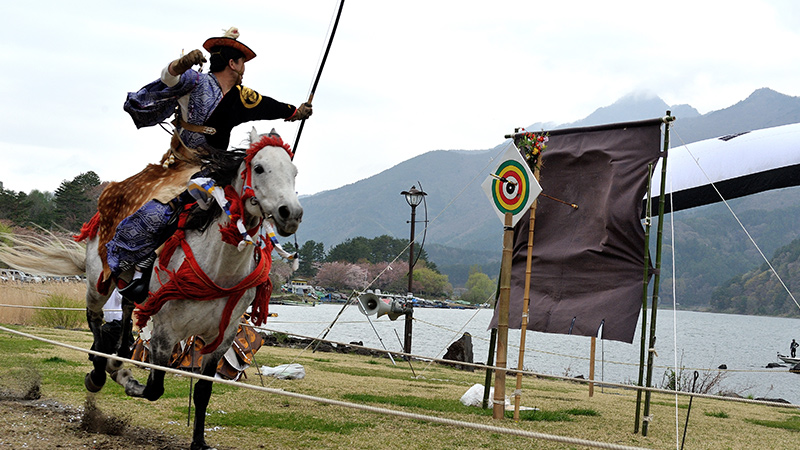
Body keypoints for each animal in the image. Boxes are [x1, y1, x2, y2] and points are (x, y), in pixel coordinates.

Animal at [0, 127, 300, 450]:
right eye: (259, 168)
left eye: (294, 171)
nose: (291, 213)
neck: (220, 268)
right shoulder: (165, 332)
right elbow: (154, 388)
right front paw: (123, 375)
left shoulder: (221, 339)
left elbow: (203, 393)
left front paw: (198, 441)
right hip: (98, 280)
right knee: (95, 317)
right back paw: (99, 367)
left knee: (126, 308)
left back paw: (116, 349)